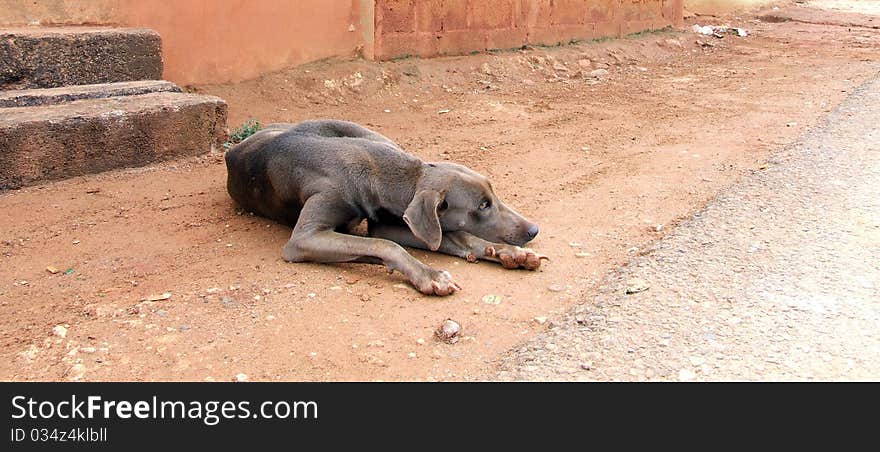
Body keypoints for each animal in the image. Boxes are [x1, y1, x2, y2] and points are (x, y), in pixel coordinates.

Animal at [223, 120, 548, 296]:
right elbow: (384, 244)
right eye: (482, 205)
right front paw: (429, 275)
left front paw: (506, 252)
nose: (534, 230)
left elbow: (452, 237)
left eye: (493, 195)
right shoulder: (304, 239)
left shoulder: (394, 222)